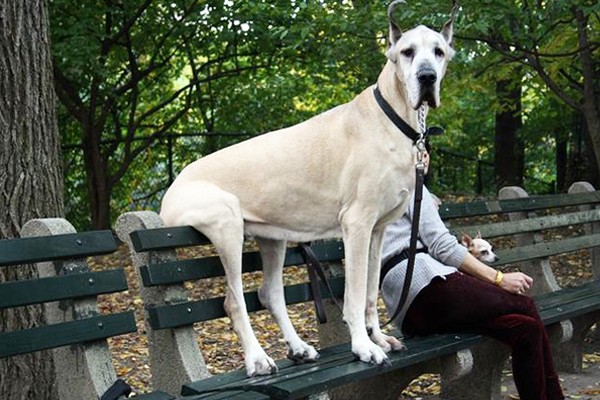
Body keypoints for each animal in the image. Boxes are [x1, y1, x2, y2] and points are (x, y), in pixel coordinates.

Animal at [162, 0, 458, 376]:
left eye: (438, 52)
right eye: (407, 52)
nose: (427, 77)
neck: (394, 118)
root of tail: (172, 188)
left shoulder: (377, 230)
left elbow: (370, 292)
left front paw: (378, 337)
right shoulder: (357, 225)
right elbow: (355, 293)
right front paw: (364, 346)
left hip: (273, 237)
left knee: (269, 293)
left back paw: (299, 347)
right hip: (227, 225)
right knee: (233, 300)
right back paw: (257, 358)